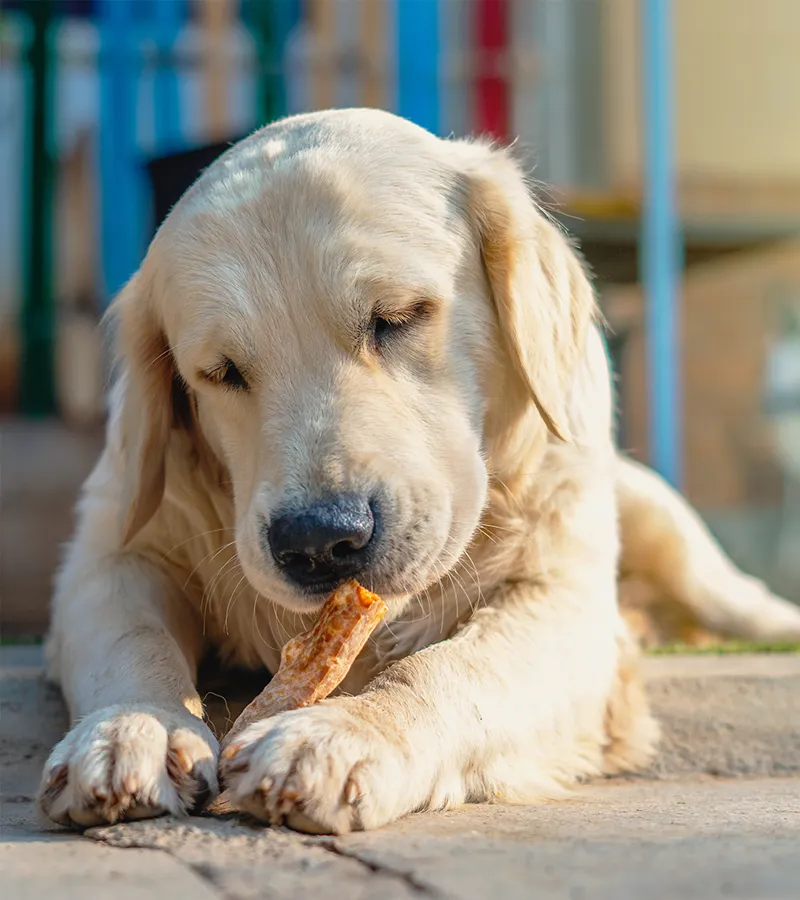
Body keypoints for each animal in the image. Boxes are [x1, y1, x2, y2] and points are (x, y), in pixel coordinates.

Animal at [37, 109, 800, 832]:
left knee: (735, 597)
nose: (319, 541)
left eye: (396, 317)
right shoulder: (114, 552)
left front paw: (342, 735)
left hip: (668, 533)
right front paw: (131, 727)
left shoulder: (565, 598)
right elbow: (133, 637)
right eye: (221, 373)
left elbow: (450, 665)